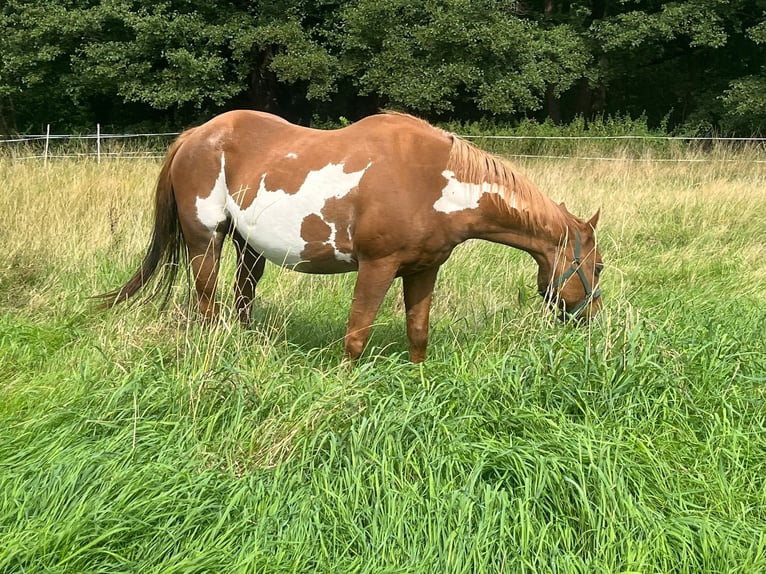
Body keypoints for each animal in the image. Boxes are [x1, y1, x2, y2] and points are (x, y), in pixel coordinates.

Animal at [97, 111, 608, 364]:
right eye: (598, 267)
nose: (590, 319)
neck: (433, 179)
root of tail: (194, 135)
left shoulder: (423, 269)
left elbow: (418, 334)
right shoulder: (377, 267)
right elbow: (356, 337)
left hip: (248, 247)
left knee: (242, 299)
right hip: (207, 240)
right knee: (207, 303)